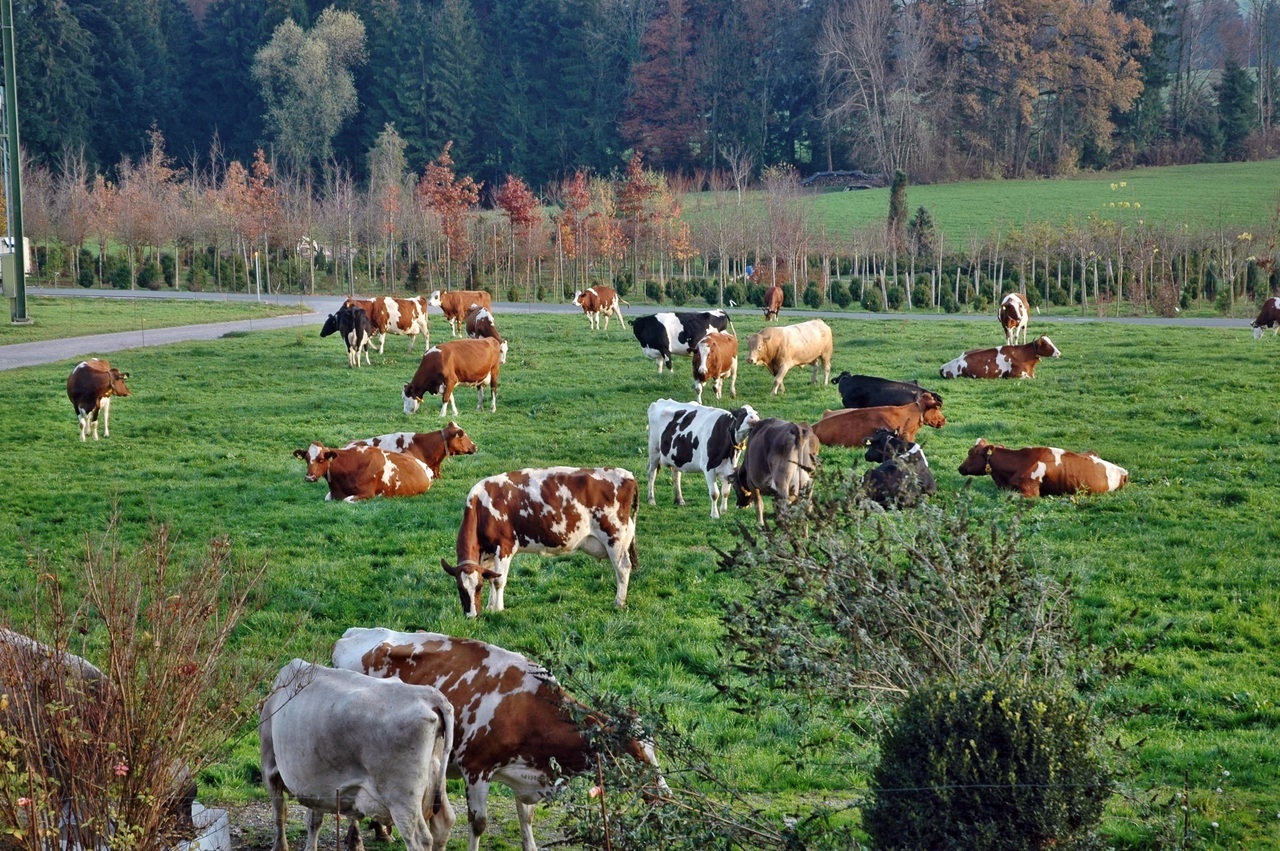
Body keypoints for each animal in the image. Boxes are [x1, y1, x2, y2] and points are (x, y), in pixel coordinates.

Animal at [259, 659, 454, 851]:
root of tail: (428, 694)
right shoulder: (314, 783)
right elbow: (314, 820)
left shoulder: (270, 767)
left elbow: (279, 813)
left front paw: (280, 846)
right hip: (435, 782)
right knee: (444, 824)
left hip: (402, 798)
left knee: (419, 838)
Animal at [331, 627, 669, 851]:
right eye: (636, 756)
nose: (665, 797)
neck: (527, 708)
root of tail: (352, 634)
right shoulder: (476, 768)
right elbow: (478, 822)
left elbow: (526, 816)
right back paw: (356, 839)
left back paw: (382, 830)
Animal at [441, 466, 639, 615]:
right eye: (460, 588)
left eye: (478, 587)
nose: (472, 616)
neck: (481, 507)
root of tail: (627, 475)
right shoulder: (489, 553)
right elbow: (492, 577)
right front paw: (490, 606)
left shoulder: (504, 546)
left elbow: (499, 581)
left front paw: (498, 609)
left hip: (615, 538)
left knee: (623, 568)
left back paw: (619, 602)